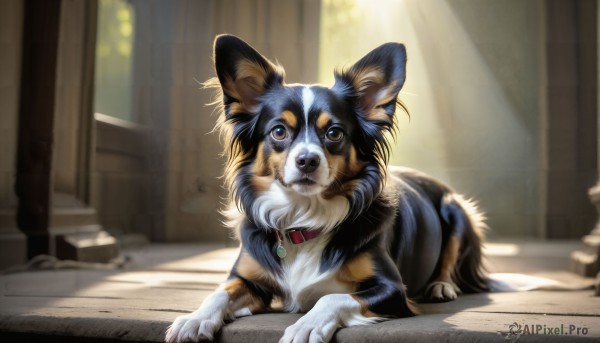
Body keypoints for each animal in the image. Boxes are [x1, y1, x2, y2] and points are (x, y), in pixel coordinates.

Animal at [163, 34, 488, 343]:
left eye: (334, 133)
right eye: (278, 131)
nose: (307, 160)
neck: (303, 217)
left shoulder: (392, 289)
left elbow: (332, 297)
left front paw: (306, 325)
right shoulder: (248, 278)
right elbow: (219, 292)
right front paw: (194, 319)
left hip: (457, 209)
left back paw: (442, 285)